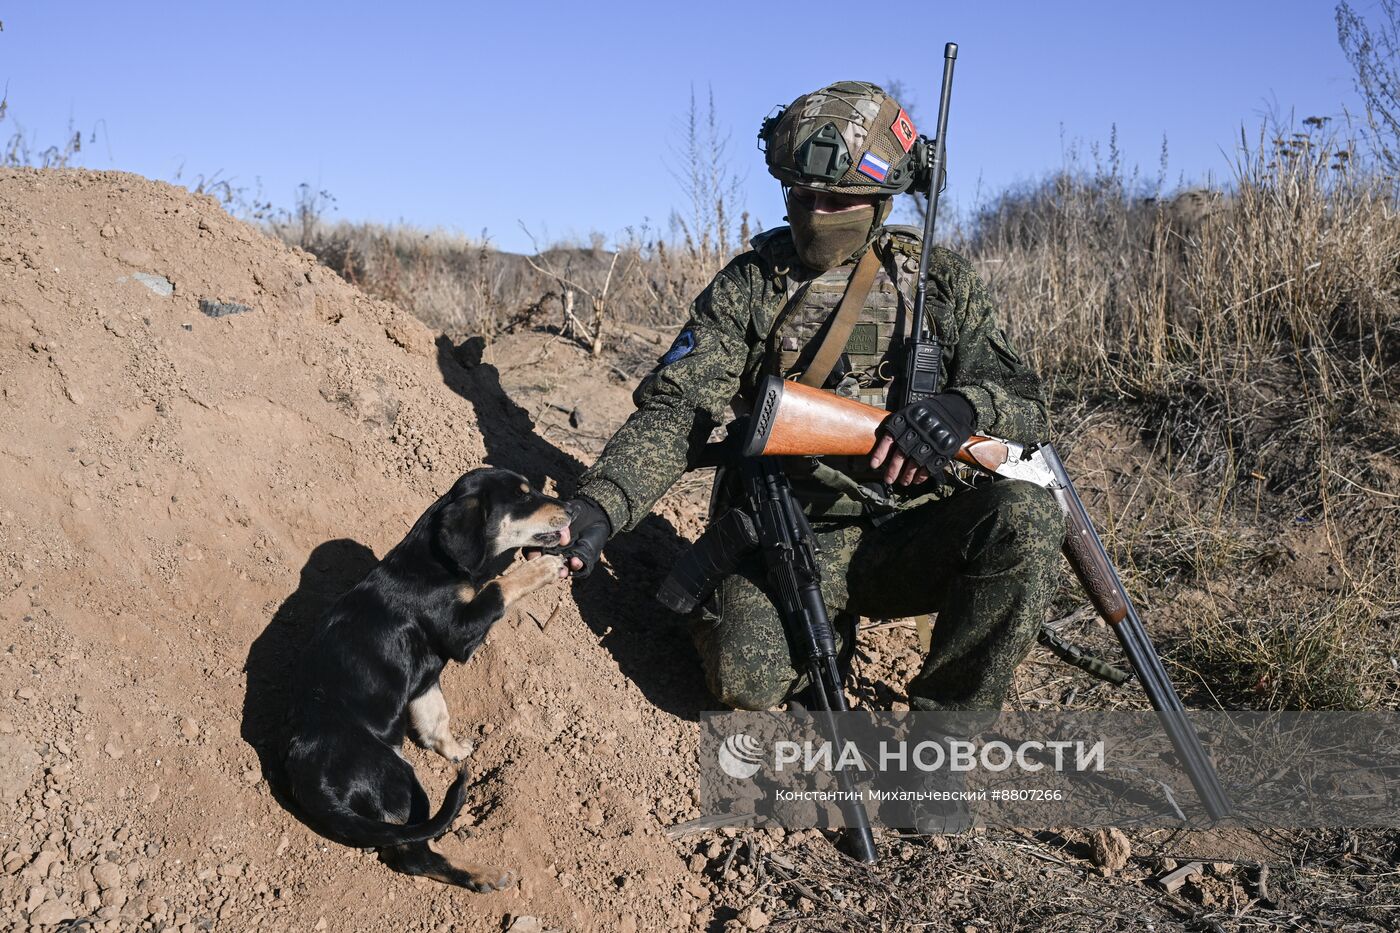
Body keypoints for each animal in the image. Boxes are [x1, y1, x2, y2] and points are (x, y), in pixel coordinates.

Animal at [281, 465, 571, 885]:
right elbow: (498, 586)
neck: (437, 565)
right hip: (400, 780)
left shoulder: (423, 678)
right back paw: (482, 873)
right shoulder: (460, 634)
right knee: (413, 855)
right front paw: (540, 569)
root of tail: (314, 784)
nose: (572, 509)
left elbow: (436, 717)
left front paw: (454, 749)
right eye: (523, 496)